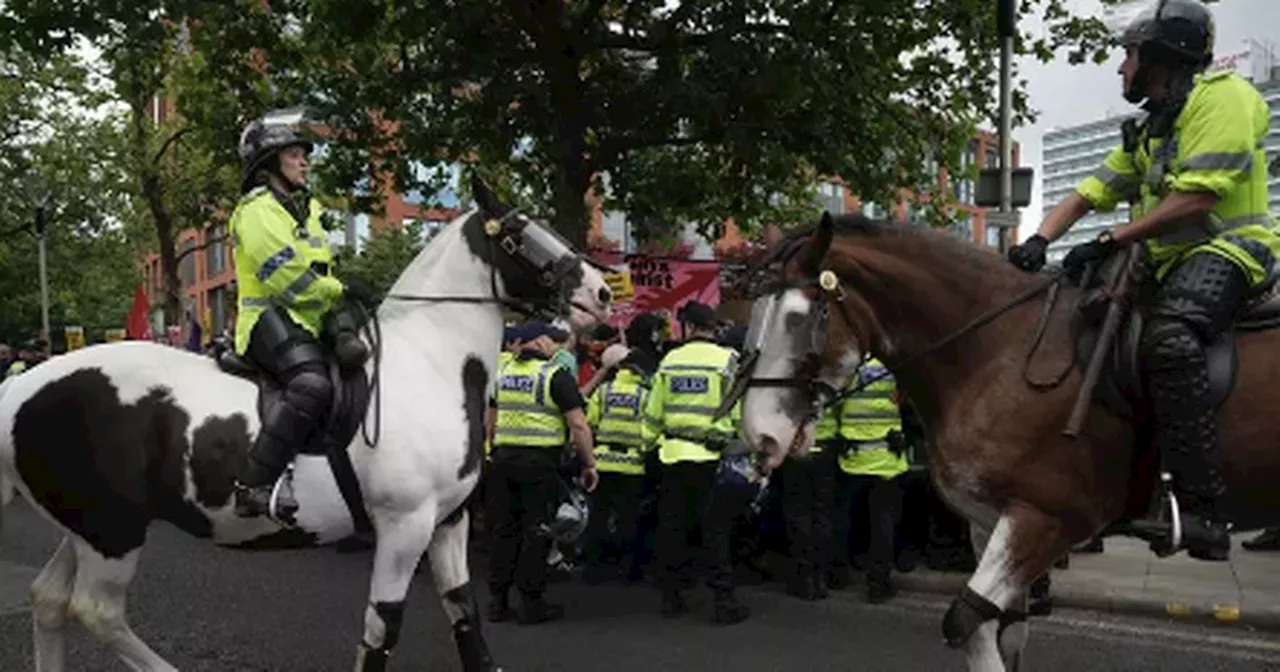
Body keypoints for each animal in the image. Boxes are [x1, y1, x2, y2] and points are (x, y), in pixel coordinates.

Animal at [0, 174, 614, 670]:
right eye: (518, 232)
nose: (603, 293)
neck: (431, 360)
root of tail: (19, 389)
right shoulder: (405, 525)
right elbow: (381, 628)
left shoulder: (448, 521)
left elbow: (465, 616)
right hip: (112, 532)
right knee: (95, 611)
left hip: (90, 526)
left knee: (48, 600)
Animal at [732, 212, 1280, 665]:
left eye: (801, 319)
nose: (760, 435)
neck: (997, 353)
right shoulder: (990, 521)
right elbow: (999, 631)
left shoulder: (1047, 519)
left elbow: (963, 621)